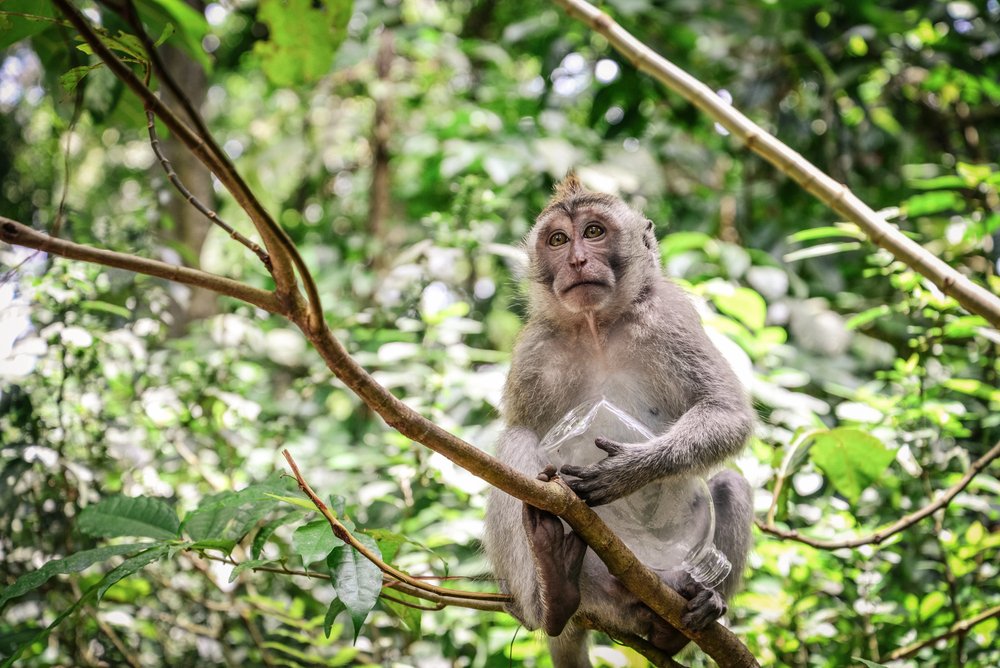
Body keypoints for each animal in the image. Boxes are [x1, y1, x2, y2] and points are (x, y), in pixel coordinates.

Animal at [483, 174, 754, 666]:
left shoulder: (670, 318)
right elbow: (518, 434)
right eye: (557, 239)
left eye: (593, 232)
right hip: (594, 591)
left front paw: (627, 471)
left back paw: (683, 616)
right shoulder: (533, 351)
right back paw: (553, 588)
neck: (594, 325)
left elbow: (726, 411)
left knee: (729, 484)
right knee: (517, 443)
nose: (576, 259)